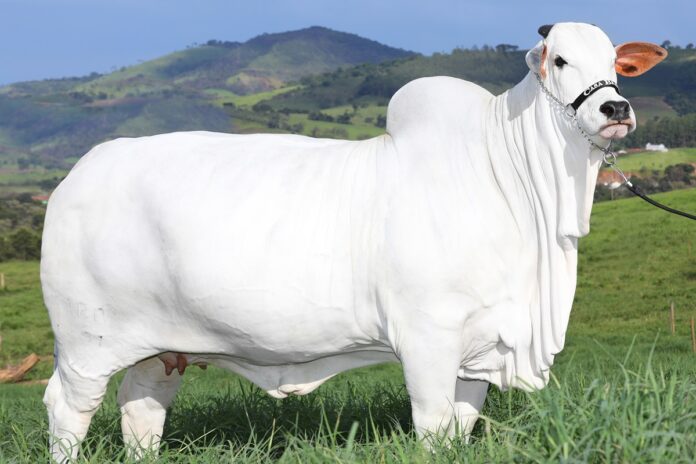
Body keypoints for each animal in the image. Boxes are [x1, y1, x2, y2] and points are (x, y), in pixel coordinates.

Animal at [41, 22, 666, 461]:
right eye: (559, 59)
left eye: (616, 65)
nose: (615, 108)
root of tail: (77, 175)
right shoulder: (428, 339)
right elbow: (434, 427)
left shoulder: (479, 348)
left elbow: (461, 427)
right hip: (86, 343)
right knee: (67, 410)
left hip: (161, 348)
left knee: (141, 408)